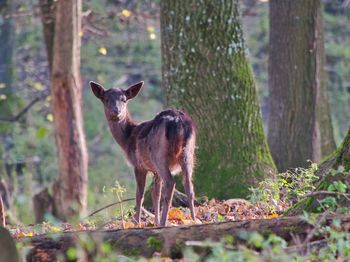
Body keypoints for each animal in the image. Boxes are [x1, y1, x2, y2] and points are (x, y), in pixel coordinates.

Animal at [89, 81, 197, 226]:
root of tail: (177, 121)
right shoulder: (155, 171)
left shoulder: (138, 165)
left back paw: (164, 223)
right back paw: (194, 219)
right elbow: (155, 194)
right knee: (189, 186)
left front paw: (137, 222)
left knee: (171, 183)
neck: (128, 139)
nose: (116, 111)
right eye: (106, 99)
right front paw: (155, 221)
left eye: (124, 100)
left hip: (159, 155)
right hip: (188, 153)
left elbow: (139, 195)